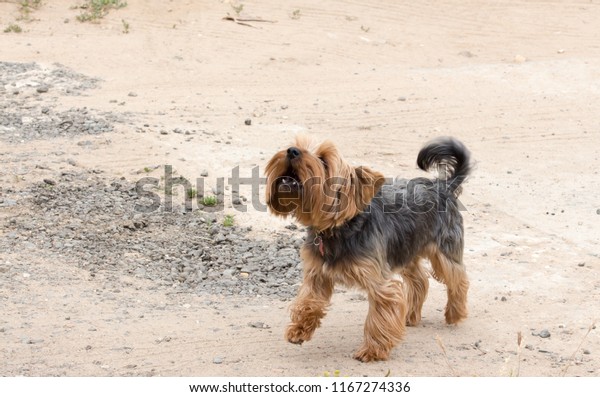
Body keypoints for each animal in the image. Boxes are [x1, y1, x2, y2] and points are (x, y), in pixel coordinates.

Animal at [264, 136, 472, 362]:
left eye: (324, 161)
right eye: (298, 146)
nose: (291, 151)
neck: (337, 228)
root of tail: (443, 185)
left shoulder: (379, 281)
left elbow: (379, 316)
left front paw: (373, 350)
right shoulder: (317, 274)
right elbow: (308, 301)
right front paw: (299, 330)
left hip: (443, 251)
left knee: (458, 278)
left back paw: (454, 314)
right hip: (405, 250)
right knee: (420, 280)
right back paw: (410, 315)